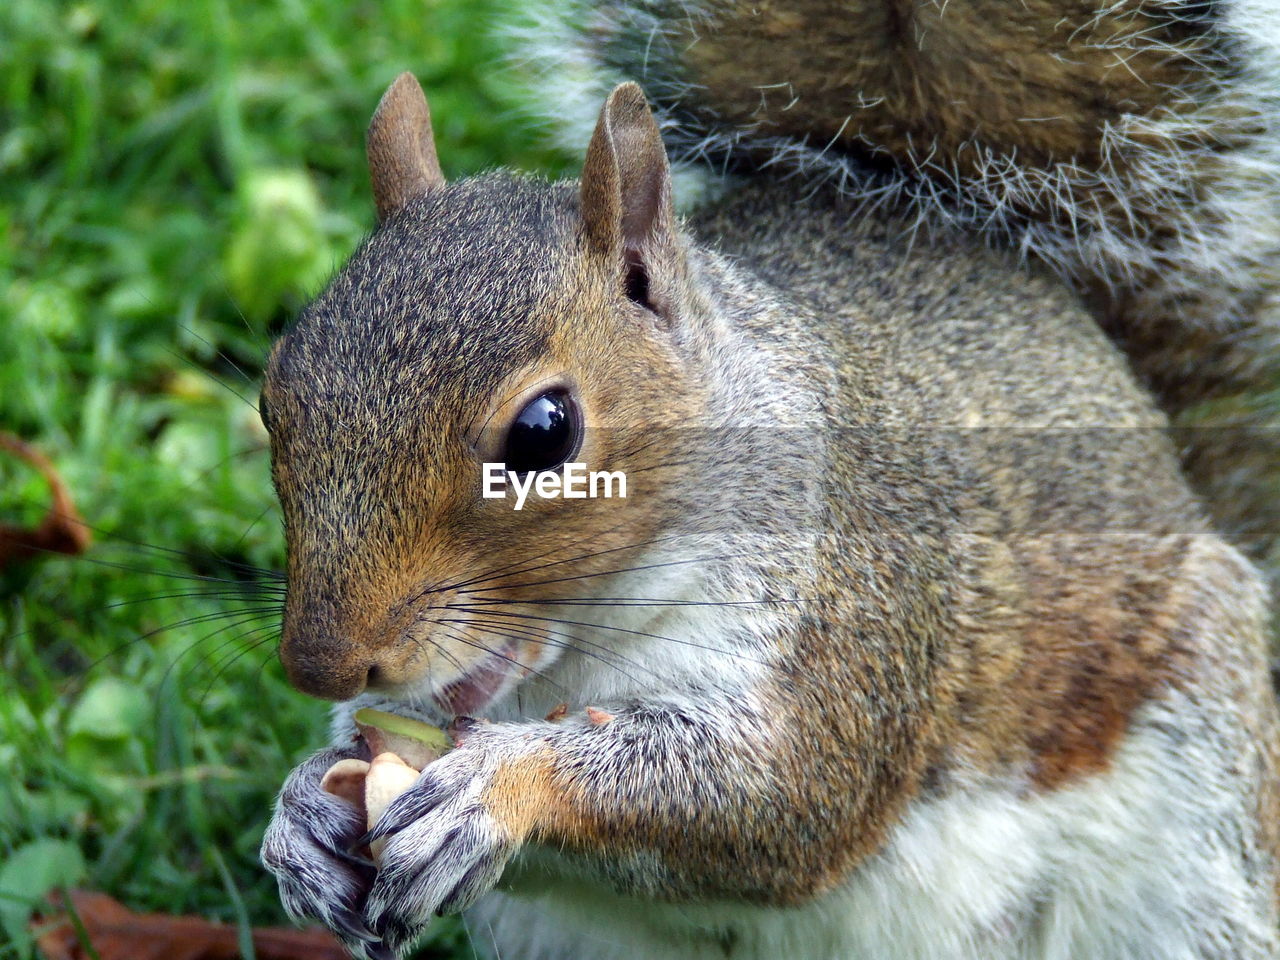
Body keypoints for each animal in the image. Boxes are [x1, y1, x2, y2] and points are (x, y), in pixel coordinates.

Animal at [257, 1, 1280, 960]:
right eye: (274, 396)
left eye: (546, 432)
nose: (320, 664)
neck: (585, 650)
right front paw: (300, 814)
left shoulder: (855, 615)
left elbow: (782, 794)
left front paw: (498, 784)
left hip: (1199, 804)